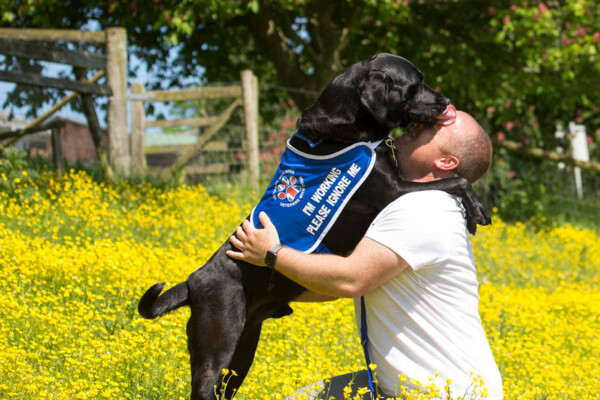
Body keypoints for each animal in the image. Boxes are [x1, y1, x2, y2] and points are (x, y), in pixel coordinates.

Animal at [138, 54, 490, 400]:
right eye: (415, 85)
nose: (446, 102)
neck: (349, 128)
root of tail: (192, 280)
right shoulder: (393, 190)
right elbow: (456, 180)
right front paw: (477, 210)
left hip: (244, 349)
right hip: (219, 342)